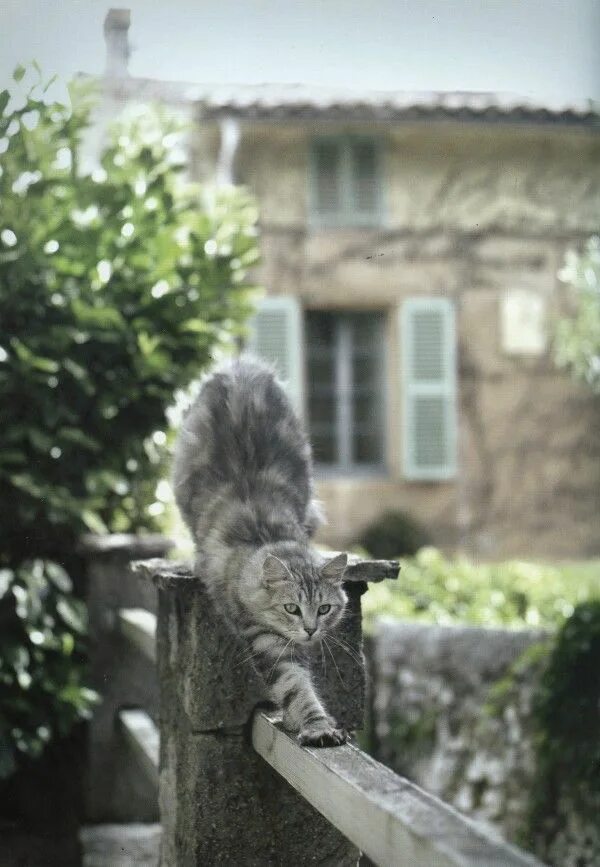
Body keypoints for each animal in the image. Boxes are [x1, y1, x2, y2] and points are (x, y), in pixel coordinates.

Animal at [171, 358, 350, 744]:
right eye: (291, 608)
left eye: (324, 608)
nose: (310, 630)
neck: (265, 537)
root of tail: (240, 366)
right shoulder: (266, 641)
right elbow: (297, 688)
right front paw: (316, 726)